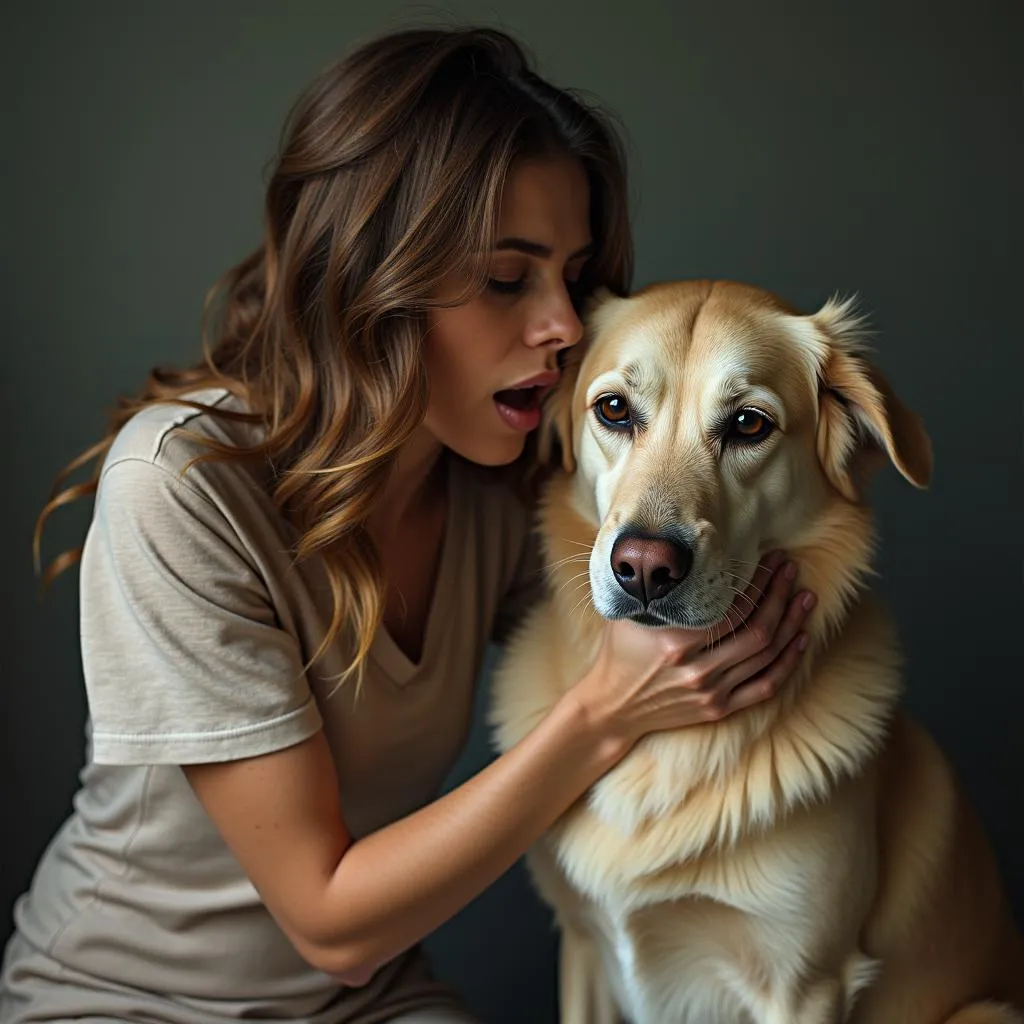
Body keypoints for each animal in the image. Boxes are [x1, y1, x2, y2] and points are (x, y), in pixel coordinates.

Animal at [489, 280, 1024, 1024]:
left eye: (748, 424)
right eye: (614, 410)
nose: (644, 568)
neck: (667, 743)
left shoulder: (802, 983)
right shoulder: (584, 947)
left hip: (985, 1010)